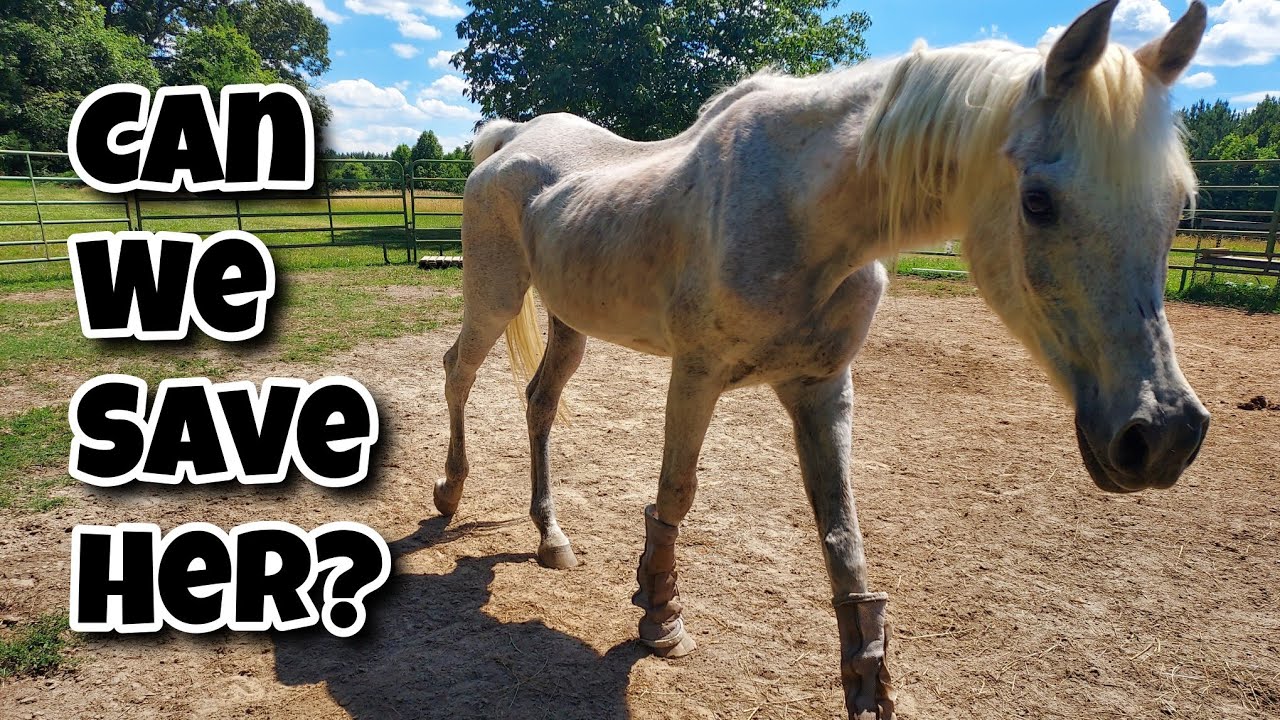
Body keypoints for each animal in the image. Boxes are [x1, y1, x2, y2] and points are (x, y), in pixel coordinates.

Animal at [435, 2, 1211, 717]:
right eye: (1039, 201)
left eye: (1178, 206)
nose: (1163, 436)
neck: (804, 214)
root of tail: (510, 140)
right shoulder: (696, 375)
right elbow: (676, 494)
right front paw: (661, 620)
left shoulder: (821, 389)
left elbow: (843, 537)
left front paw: (868, 681)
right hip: (496, 297)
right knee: (458, 370)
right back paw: (448, 494)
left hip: (569, 323)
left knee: (540, 402)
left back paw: (551, 537)